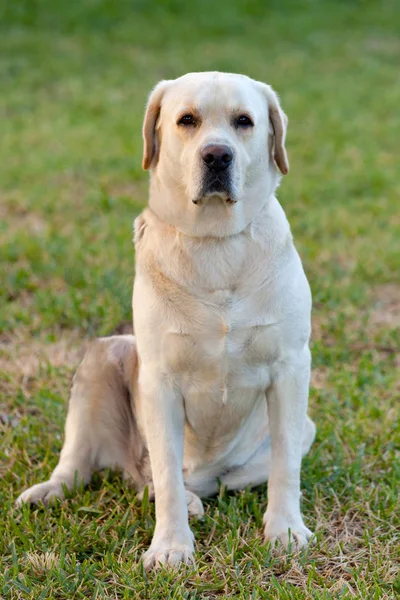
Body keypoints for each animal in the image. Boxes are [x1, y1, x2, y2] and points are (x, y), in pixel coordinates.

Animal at [14, 72, 316, 568]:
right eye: (187, 120)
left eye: (244, 121)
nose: (217, 155)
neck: (215, 243)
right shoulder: (159, 380)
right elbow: (167, 475)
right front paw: (171, 547)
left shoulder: (291, 367)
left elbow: (285, 464)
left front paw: (286, 530)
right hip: (103, 356)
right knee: (95, 466)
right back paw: (49, 491)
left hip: (295, 432)